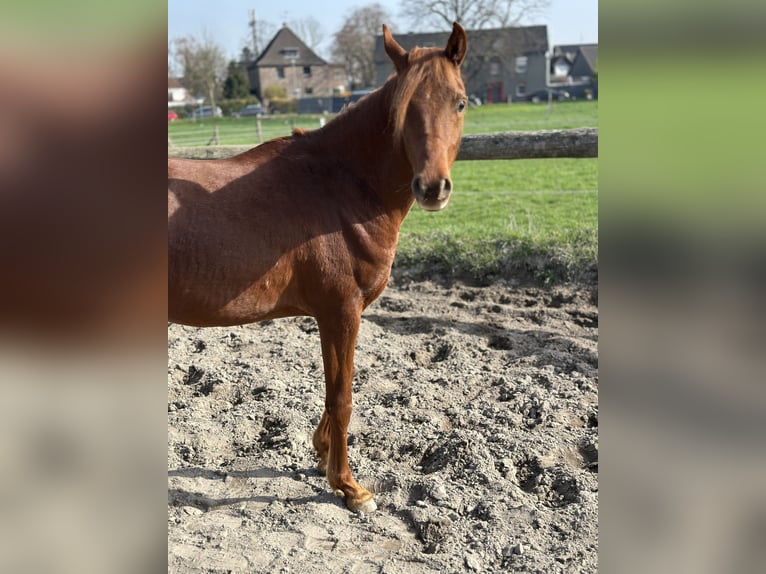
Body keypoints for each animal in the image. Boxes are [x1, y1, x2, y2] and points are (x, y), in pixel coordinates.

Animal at [168, 23, 467, 513]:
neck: (341, 186)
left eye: (459, 102)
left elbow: (332, 393)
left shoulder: (332, 315)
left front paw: (323, 452)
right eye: (405, 108)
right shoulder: (342, 311)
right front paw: (349, 487)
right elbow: (342, 397)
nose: (432, 187)